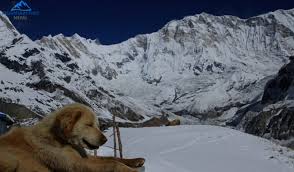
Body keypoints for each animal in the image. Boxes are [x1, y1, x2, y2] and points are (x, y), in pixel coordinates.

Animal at [0, 103, 145, 172]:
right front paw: (130, 170)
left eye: (98, 125)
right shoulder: (76, 164)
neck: (60, 138)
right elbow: (112, 163)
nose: (105, 140)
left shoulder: (84, 157)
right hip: (11, 160)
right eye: (89, 124)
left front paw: (135, 161)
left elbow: (112, 158)